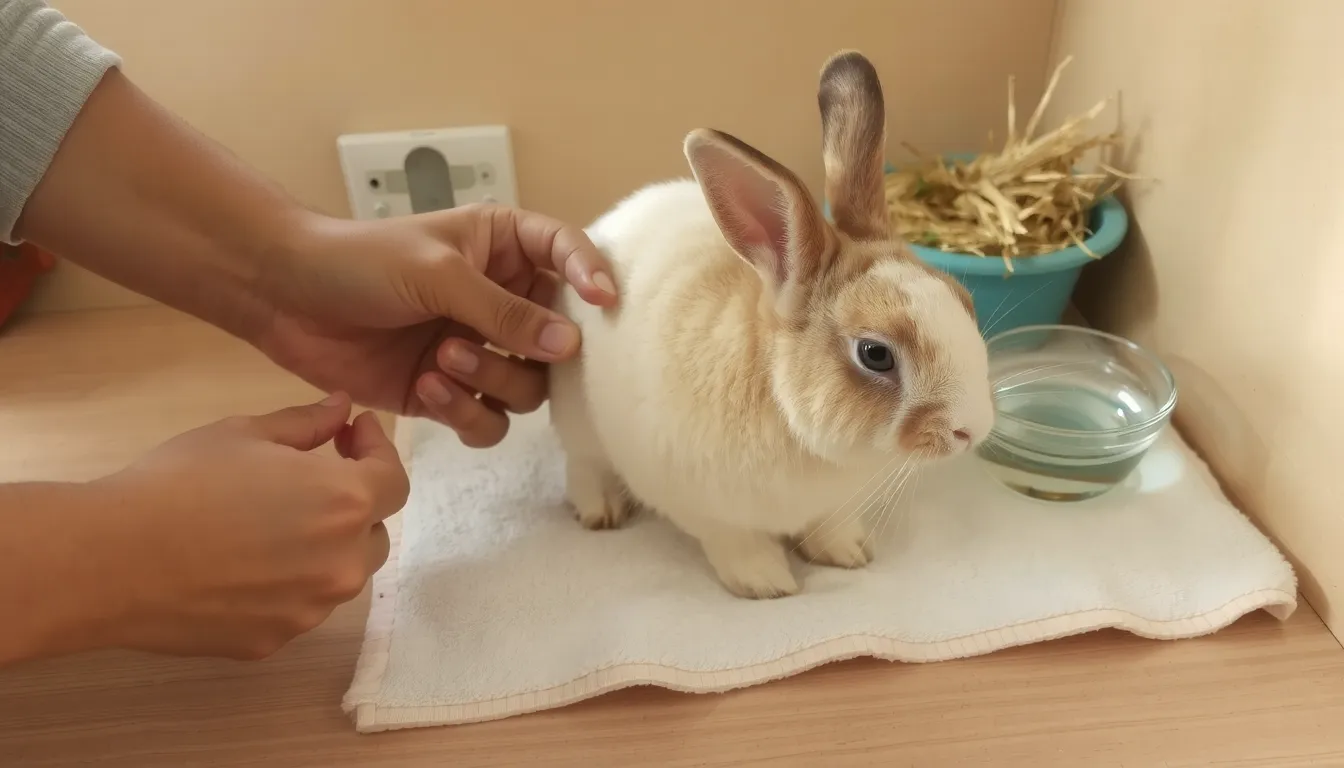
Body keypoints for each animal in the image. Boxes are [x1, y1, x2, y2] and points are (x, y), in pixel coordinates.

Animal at [547, 50, 994, 599]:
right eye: (875, 354)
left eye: (964, 301)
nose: (974, 430)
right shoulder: (699, 503)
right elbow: (734, 541)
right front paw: (767, 583)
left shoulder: (829, 505)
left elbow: (828, 524)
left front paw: (851, 553)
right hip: (575, 417)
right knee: (582, 464)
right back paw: (601, 511)